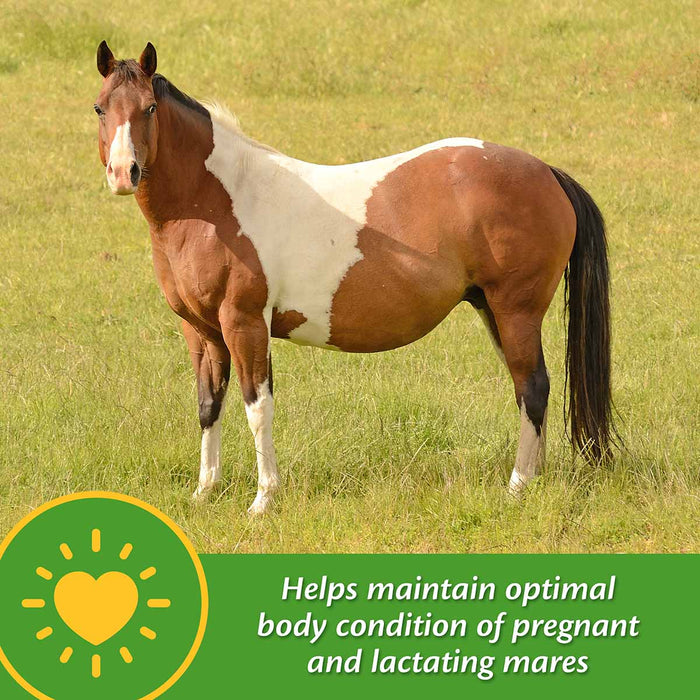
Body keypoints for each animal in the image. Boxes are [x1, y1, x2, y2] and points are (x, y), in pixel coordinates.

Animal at [94, 42, 615, 514]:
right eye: (101, 108)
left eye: (150, 107)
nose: (123, 173)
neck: (219, 199)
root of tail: (545, 172)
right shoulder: (201, 331)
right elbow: (209, 405)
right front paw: (205, 492)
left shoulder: (245, 324)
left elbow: (257, 406)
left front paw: (263, 499)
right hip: (493, 310)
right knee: (527, 390)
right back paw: (534, 479)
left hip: (515, 311)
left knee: (534, 387)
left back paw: (517, 486)